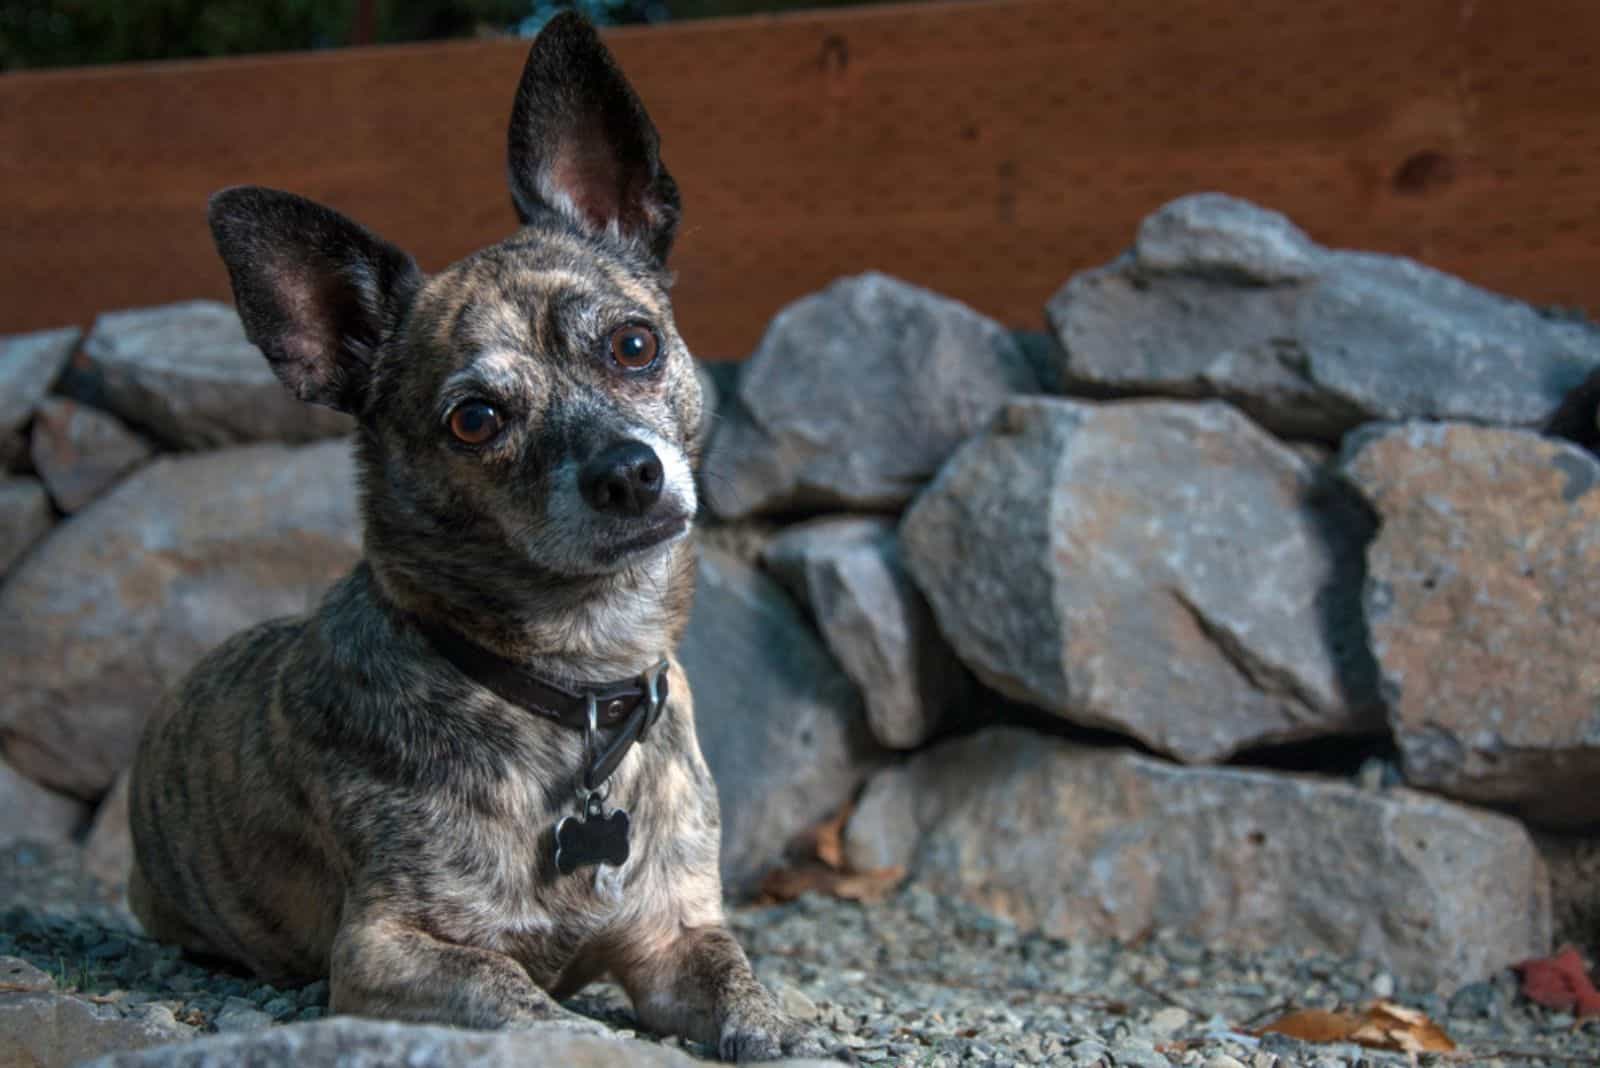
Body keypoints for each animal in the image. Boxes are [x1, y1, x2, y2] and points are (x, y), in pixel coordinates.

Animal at [126, 14, 838, 1061]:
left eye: (634, 344)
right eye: (475, 420)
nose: (628, 472)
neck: (576, 683)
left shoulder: (677, 935)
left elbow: (736, 977)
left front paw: (782, 1024)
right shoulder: (388, 950)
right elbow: (525, 1003)